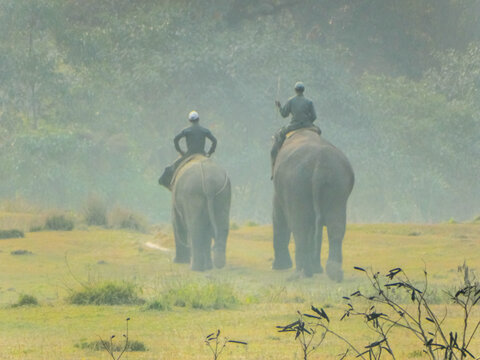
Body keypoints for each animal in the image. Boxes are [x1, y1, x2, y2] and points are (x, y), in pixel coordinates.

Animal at [272, 129, 354, 282]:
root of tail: (319, 164)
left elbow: (279, 215)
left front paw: (280, 267)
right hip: (337, 184)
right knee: (336, 225)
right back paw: (333, 272)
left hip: (296, 185)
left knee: (299, 228)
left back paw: (299, 273)